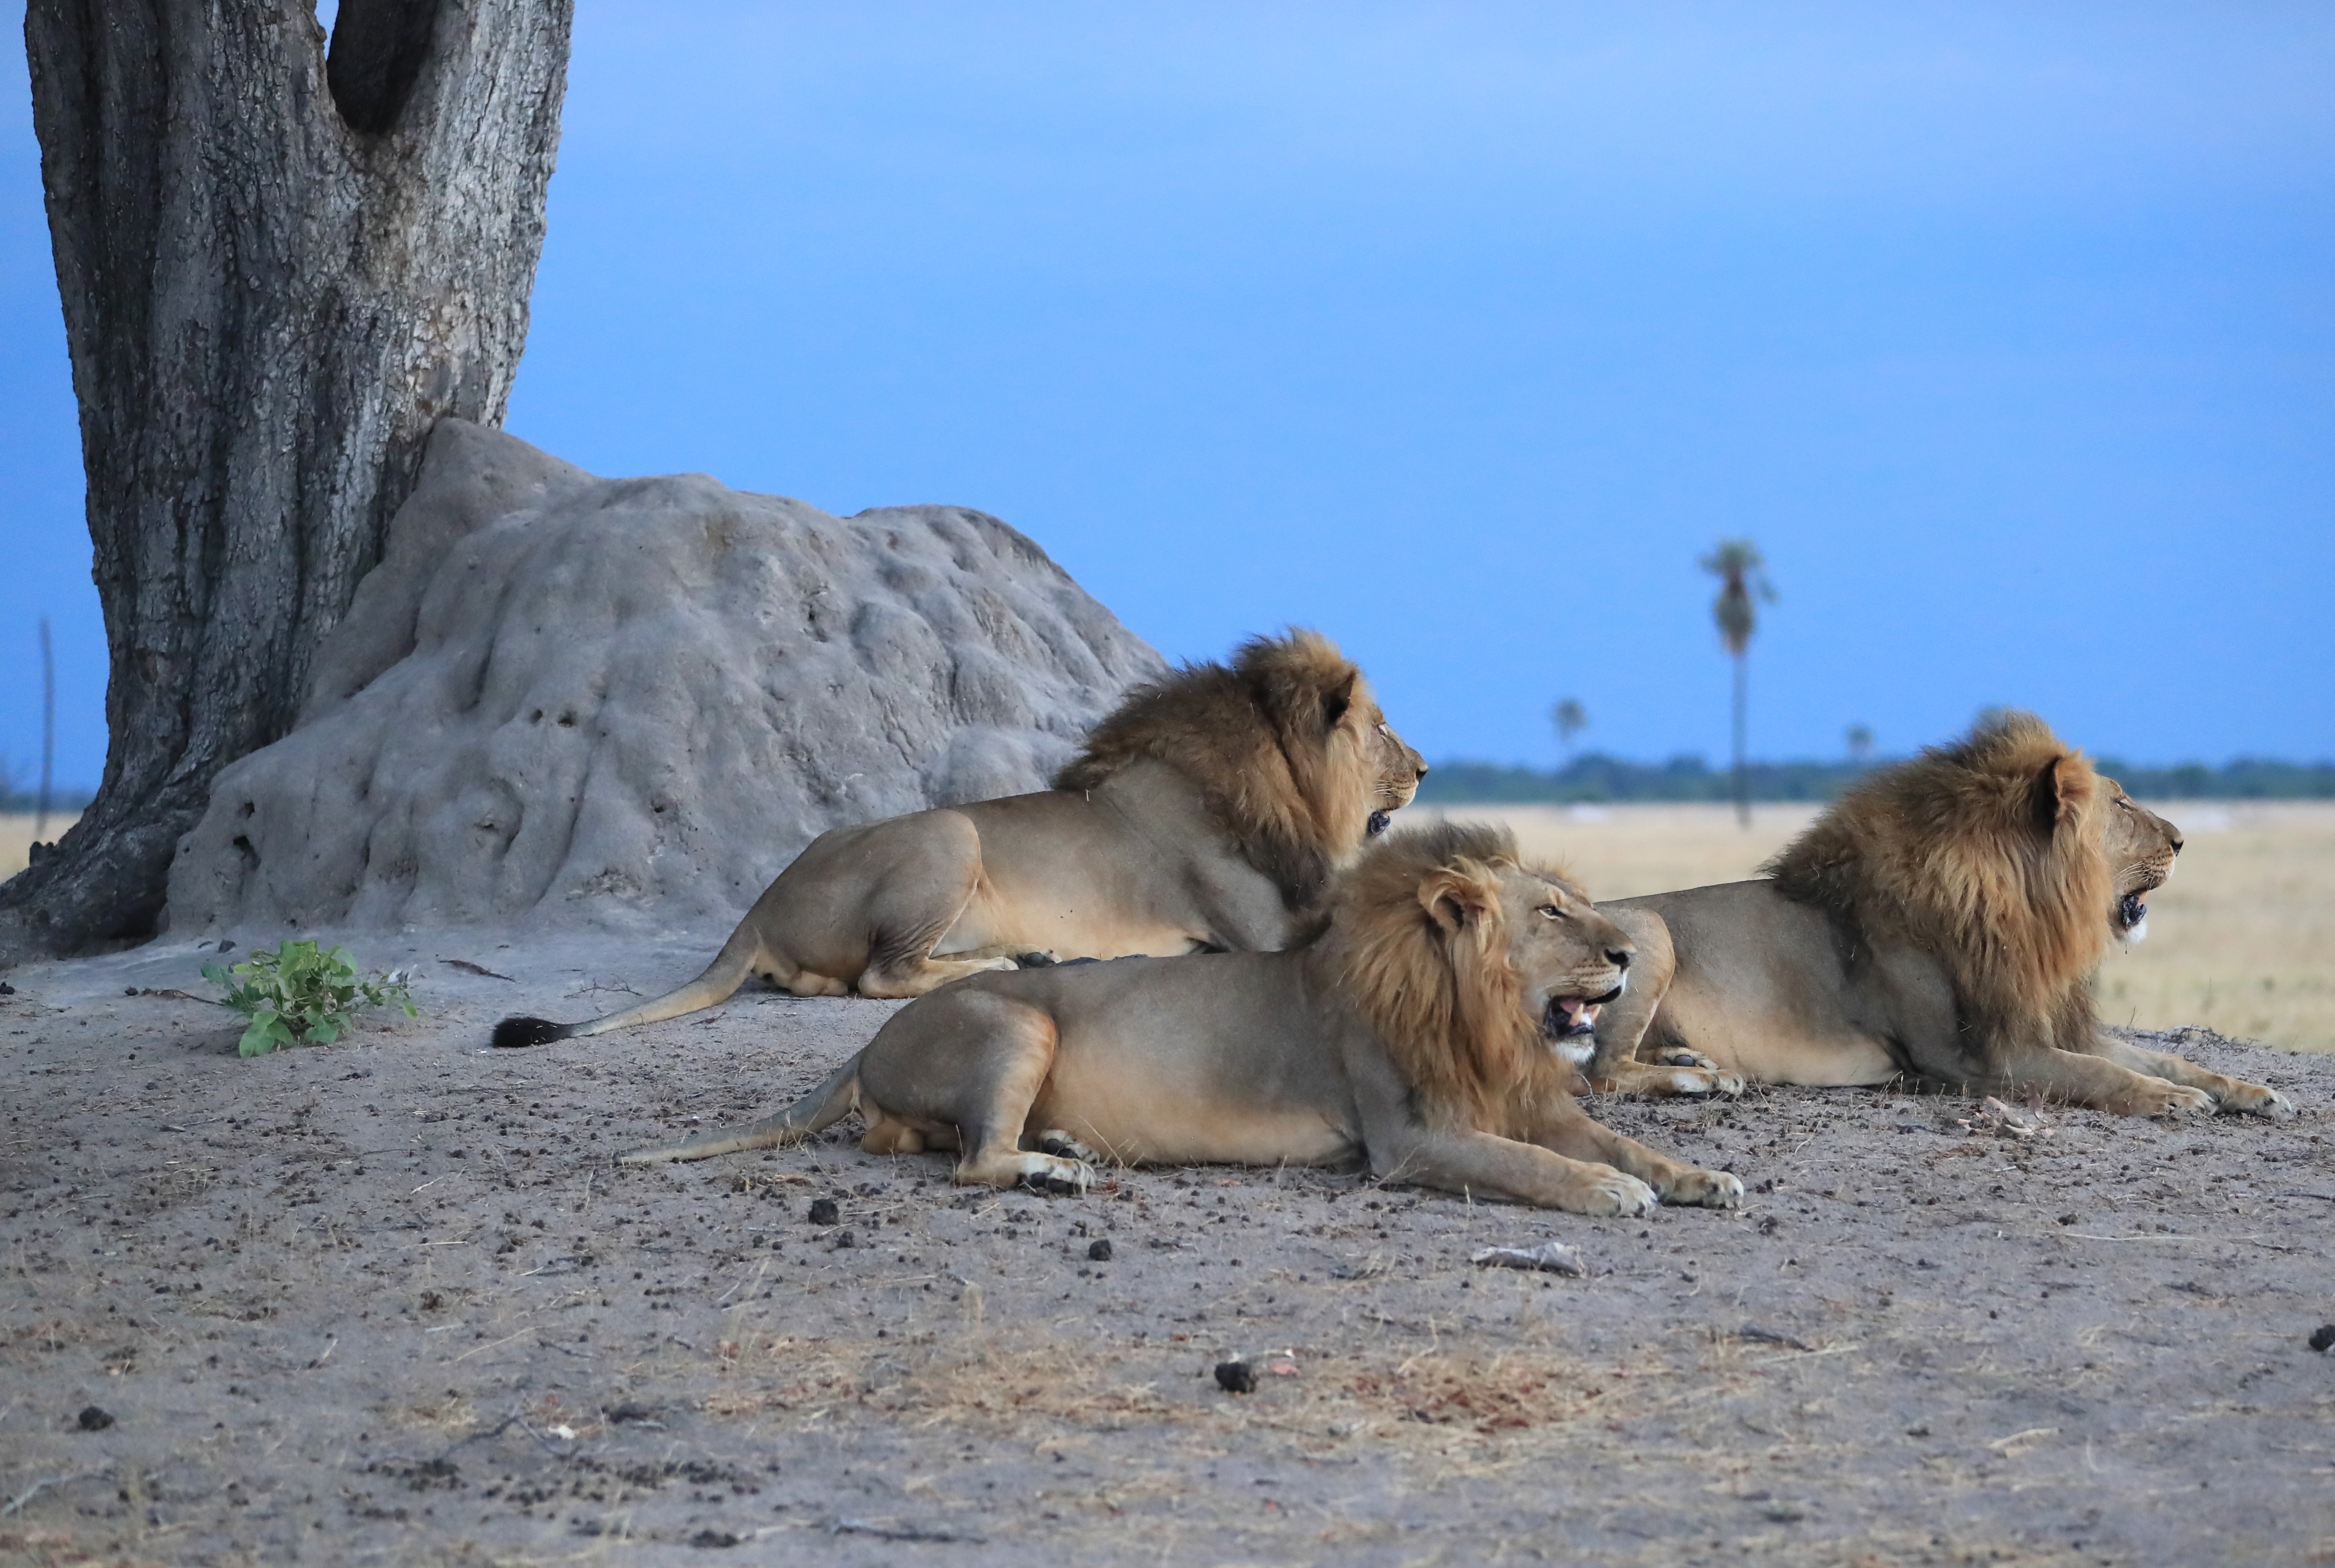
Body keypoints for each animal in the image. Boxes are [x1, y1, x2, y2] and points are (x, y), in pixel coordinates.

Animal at [492, 630, 1427, 1047]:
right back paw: (1021, 962)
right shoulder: (1258, 929)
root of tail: (757, 908)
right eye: (1381, 727)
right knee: (883, 975)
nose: (1422, 765)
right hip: (949, 836)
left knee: (835, 983)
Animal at [621, 823, 1745, 1217]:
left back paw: (1066, 1145)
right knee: (970, 1162)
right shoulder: (1408, 1137)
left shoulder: (1530, 1100)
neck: (1484, 1020)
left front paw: (1698, 1175)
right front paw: (1605, 1192)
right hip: (1015, 1021)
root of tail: (865, 1042)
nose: (1628, 952)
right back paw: (1054, 1168)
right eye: (1551, 912)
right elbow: (1535, 1165)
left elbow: (1615, 1138)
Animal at [1584, 712, 2290, 1117]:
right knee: (1602, 1072)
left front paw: (2250, 1091)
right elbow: (2101, 1071)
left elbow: (2160, 1057)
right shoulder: (1969, 1057)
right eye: (2120, 804)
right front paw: (2173, 1100)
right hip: (1650, 930)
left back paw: (1691, 1060)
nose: (2182, 839)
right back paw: (1704, 1082)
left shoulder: (2046, 1024)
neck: (2024, 914)